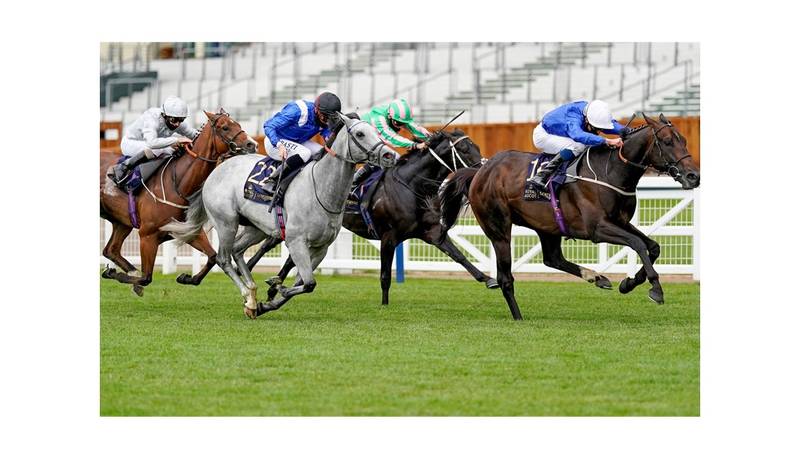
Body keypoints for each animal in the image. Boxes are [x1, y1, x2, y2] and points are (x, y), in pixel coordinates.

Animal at [100, 109, 257, 295]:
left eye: (238, 124)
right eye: (225, 127)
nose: (252, 144)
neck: (178, 184)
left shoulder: (189, 231)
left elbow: (213, 257)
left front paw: (187, 278)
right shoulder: (147, 235)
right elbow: (146, 277)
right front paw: (114, 274)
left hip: (122, 222)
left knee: (111, 250)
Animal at [160, 113, 398, 319]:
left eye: (377, 131)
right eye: (360, 134)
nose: (390, 155)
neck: (321, 189)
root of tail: (217, 169)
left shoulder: (321, 248)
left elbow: (303, 283)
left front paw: (268, 301)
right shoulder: (296, 242)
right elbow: (309, 284)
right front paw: (277, 287)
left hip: (255, 228)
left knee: (237, 251)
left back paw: (252, 293)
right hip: (226, 222)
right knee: (223, 258)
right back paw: (248, 297)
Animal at [243, 129, 499, 306]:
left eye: (476, 145)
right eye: (464, 148)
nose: (481, 168)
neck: (412, 186)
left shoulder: (432, 232)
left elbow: (459, 256)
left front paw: (488, 279)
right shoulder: (389, 237)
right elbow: (385, 275)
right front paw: (384, 304)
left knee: (289, 259)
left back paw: (273, 285)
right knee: (269, 246)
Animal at [438, 113, 700, 320]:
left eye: (684, 140)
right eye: (667, 142)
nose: (693, 176)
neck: (611, 170)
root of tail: (480, 172)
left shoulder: (620, 222)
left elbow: (652, 246)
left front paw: (629, 283)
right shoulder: (597, 228)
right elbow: (637, 244)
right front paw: (655, 288)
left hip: (547, 226)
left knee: (552, 259)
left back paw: (597, 277)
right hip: (499, 229)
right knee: (506, 277)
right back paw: (518, 317)